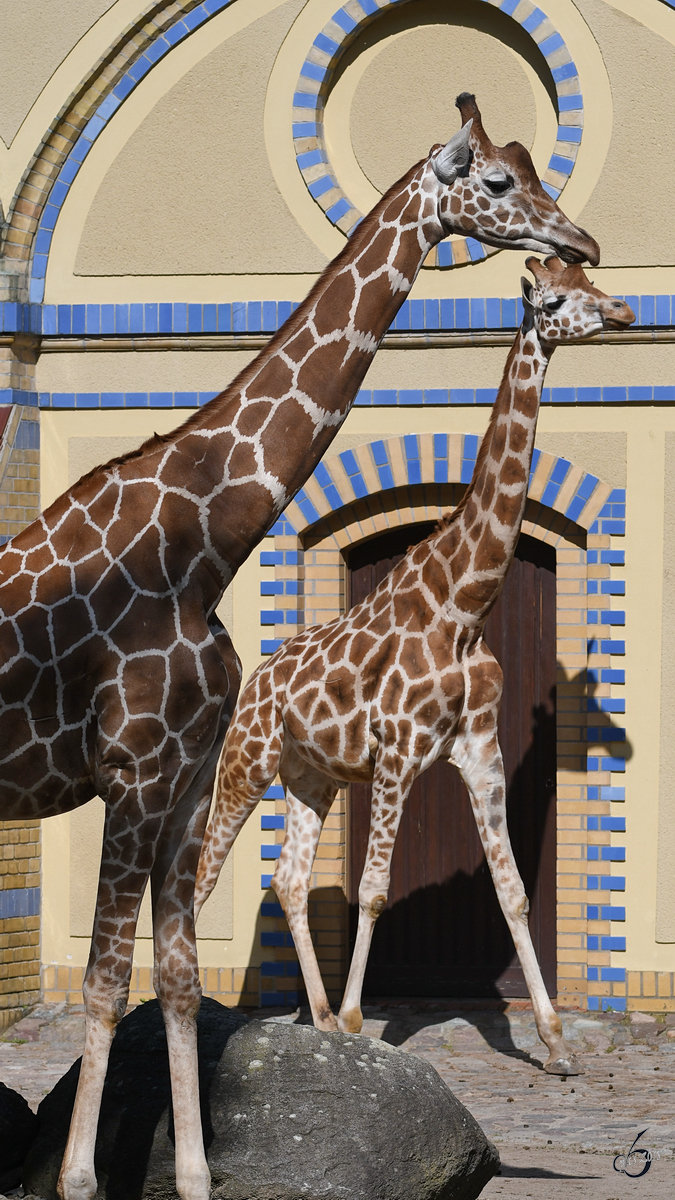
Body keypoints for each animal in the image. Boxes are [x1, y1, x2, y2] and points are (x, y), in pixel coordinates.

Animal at [193, 255, 629, 1080]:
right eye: (554, 298)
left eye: (592, 280)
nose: (624, 311)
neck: (465, 605)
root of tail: (256, 680)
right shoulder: (396, 750)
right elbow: (372, 890)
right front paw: (360, 1020)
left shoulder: (479, 750)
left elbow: (513, 892)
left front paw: (555, 1046)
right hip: (246, 761)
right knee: (199, 875)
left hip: (312, 777)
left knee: (288, 880)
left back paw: (316, 1020)